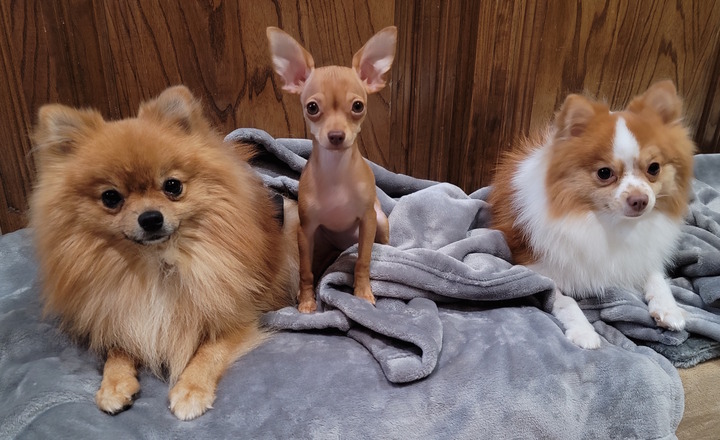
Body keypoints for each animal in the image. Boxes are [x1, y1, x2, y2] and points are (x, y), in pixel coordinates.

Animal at [29, 85, 300, 420]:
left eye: (173, 186)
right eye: (110, 197)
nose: (150, 218)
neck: (157, 263)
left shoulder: (236, 315)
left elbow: (208, 351)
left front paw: (191, 390)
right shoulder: (122, 314)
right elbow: (119, 347)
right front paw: (114, 384)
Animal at [268, 26, 396, 312]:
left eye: (358, 106)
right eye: (312, 108)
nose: (336, 135)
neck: (336, 172)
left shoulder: (368, 222)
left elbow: (362, 261)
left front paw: (363, 293)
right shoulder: (306, 232)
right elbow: (305, 271)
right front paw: (306, 300)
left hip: (380, 223)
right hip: (321, 241)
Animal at [486, 80, 696, 348]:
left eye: (654, 168)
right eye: (604, 173)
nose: (640, 199)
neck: (611, 224)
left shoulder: (641, 254)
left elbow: (656, 275)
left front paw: (669, 309)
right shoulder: (537, 268)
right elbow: (564, 299)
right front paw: (584, 332)